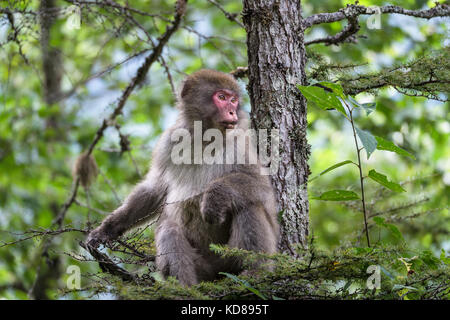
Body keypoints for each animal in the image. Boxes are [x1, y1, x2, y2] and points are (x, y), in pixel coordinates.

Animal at [86, 69, 280, 284]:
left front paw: (215, 196)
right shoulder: (168, 141)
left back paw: (255, 272)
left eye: (233, 100)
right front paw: (107, 229)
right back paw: (185, 286)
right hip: (204, 268)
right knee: (169, 229)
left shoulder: (239, 142)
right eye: (221, 97)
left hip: (230, 257)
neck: (205, 137)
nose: (233, 112)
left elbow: (262, 188)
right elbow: (155, 190)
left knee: (248, 204)